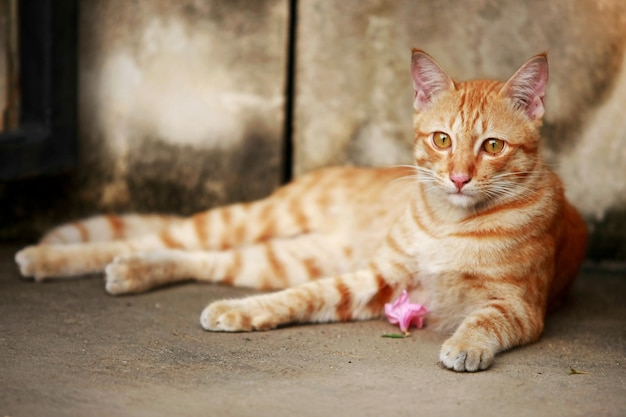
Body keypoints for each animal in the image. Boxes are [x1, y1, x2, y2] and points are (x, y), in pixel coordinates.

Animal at [17, 48, 588, 370]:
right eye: (442, 140)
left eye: (492, 147)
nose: (459, 177)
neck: (449, 223)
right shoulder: (381, 277)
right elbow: (300, 296)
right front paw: (251, 312)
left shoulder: (519, 307)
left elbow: (484, 321)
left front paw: (465, 345)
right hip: (254, 221)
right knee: (162, 237)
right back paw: (50, 259)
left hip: (284, 255)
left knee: (203, 259)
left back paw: (135, 273)